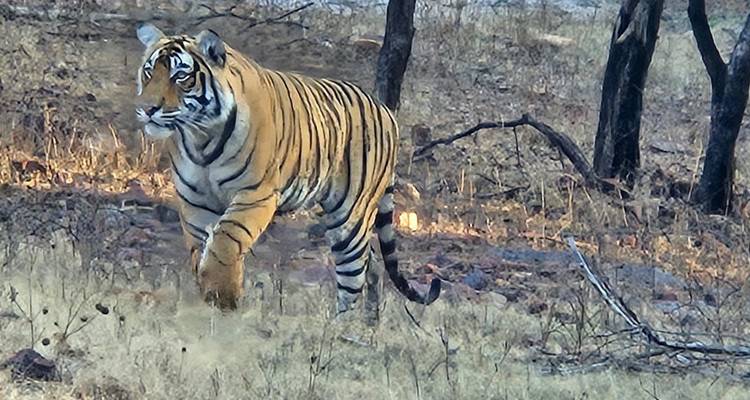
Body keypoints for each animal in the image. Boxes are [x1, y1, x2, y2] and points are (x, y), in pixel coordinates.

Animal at [134, 23, 440, 313]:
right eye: (148, 72)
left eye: (180, 76)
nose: (147, 109)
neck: (200, 138)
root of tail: (386, 110)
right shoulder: (195, 202)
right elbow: (203, 249)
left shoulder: (254, 195)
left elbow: (225, 241)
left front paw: (222, 294)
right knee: (372, 264)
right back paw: (369, 324)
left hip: (350, 218)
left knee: (354, 275)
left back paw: (343, 327)